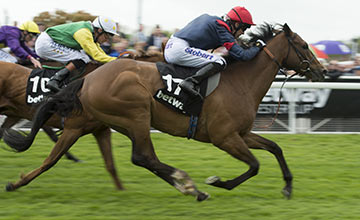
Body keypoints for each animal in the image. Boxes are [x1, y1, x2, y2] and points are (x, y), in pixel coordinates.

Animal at [4, 23, 328, 201]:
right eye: (302, 45)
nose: (323, 71)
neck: (241, 82)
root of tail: (90, 77)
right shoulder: (224, 137)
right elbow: (255, 165)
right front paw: (219, 182)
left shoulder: (242, 134)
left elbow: (274, 148)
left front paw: (288, 188)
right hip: (135, 114)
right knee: (143, 157)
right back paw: (189, 185)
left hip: (88, 123)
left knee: (53, 158)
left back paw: (16, 183)